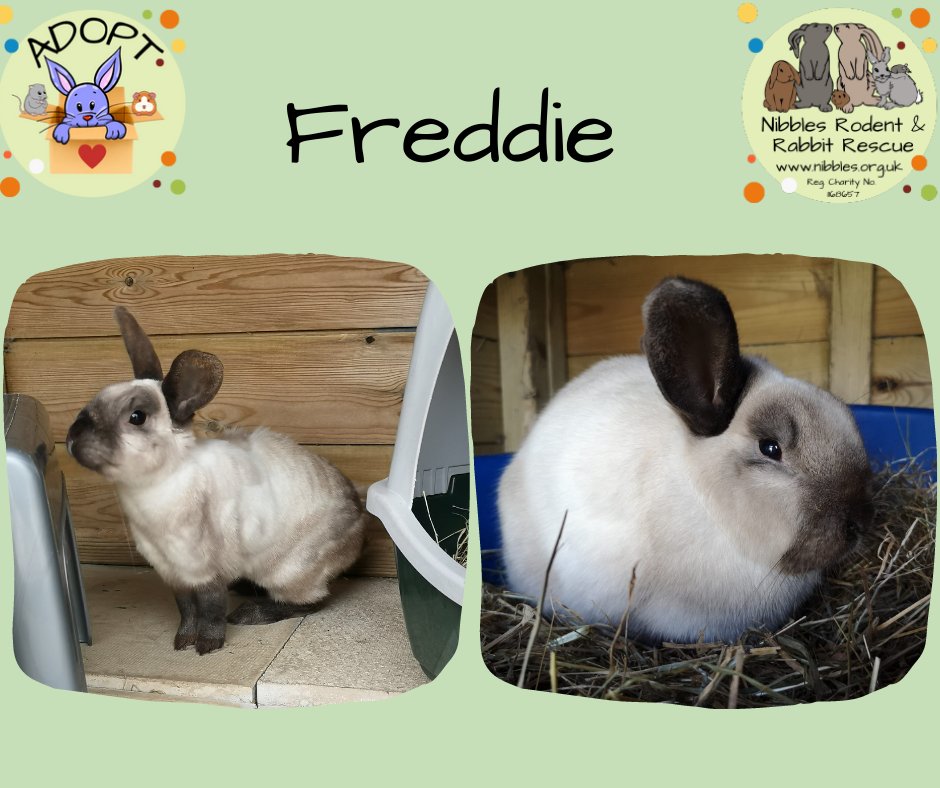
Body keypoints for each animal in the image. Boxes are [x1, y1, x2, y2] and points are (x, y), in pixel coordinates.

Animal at [66, 308, 367, 654]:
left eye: (137, 417)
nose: (72, 437)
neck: (159, 480)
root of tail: (360, 523)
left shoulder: (205, 567)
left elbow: (210, 607)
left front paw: (207, 646)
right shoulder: (173, 573)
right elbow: (186, 609)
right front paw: (182, 642)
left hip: (291, 571)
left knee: (311, 602)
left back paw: (249, 614)